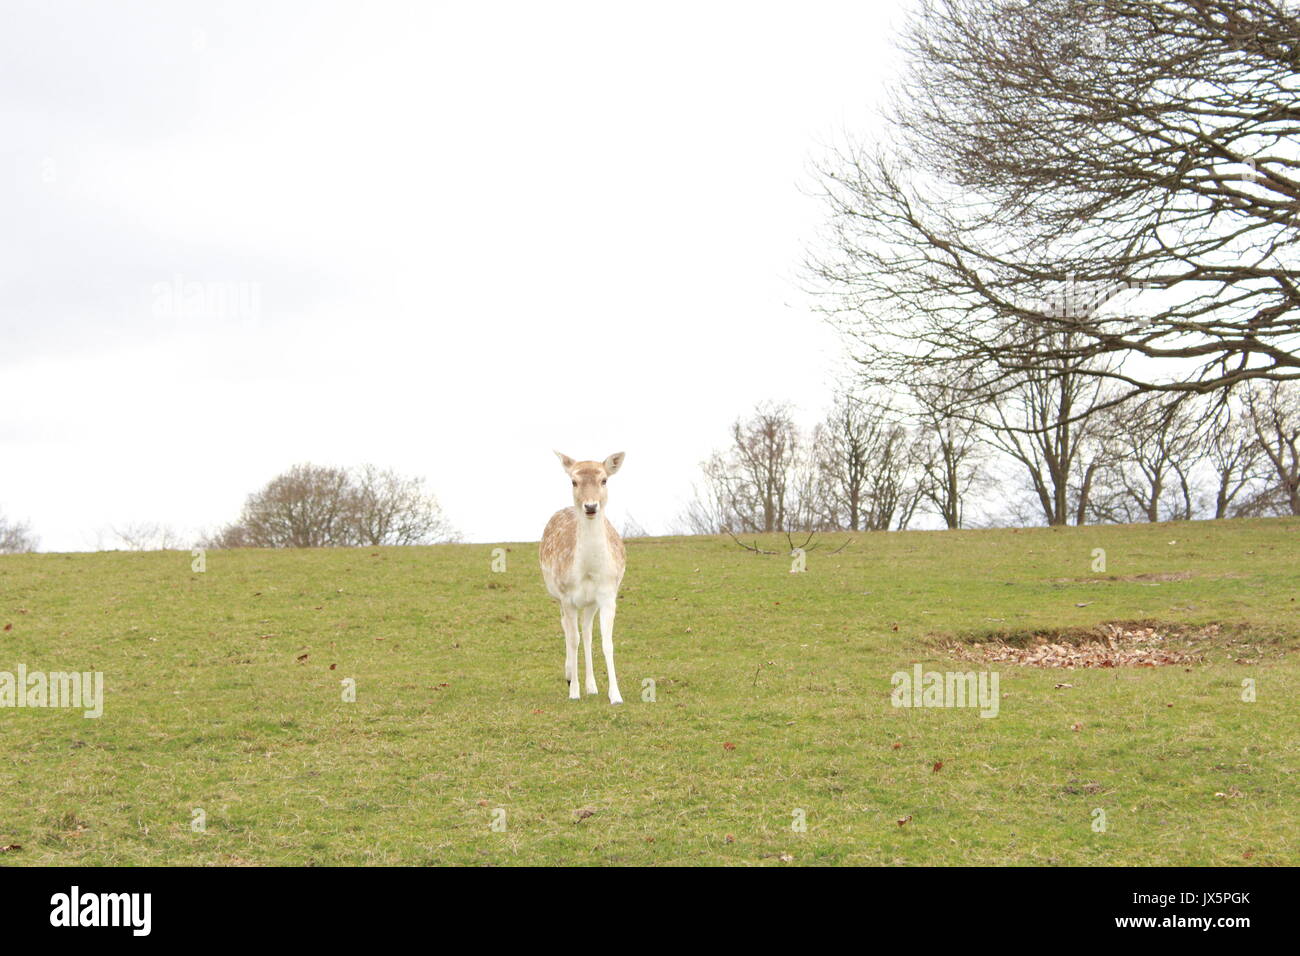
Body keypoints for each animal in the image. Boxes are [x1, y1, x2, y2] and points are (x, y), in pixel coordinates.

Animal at [540, 447, 626, 702]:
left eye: (604, 479)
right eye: (574, 481)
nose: (590, 506)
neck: (588, 571)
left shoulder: (608, 596)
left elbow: (606, 642)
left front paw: (615, 695)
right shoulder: (567, 596)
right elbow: (573, 639)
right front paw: (574, 692)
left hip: (590, 603)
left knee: (587, 632)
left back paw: (592, 685)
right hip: (558, 596)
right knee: (568, 629)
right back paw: (570, 676)